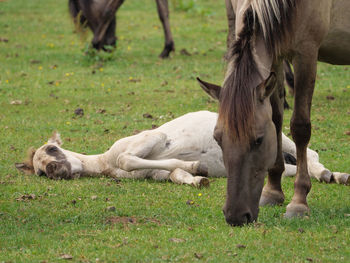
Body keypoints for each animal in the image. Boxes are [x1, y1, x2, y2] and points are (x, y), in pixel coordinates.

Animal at [198, 0, 348, 227]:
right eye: (217, 139)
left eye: (258, 140)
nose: (235, 216)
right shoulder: (276, 57)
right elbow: (276, 119)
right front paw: (273, 191)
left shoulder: (306, 54)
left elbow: (300, 128)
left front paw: (298, 202)